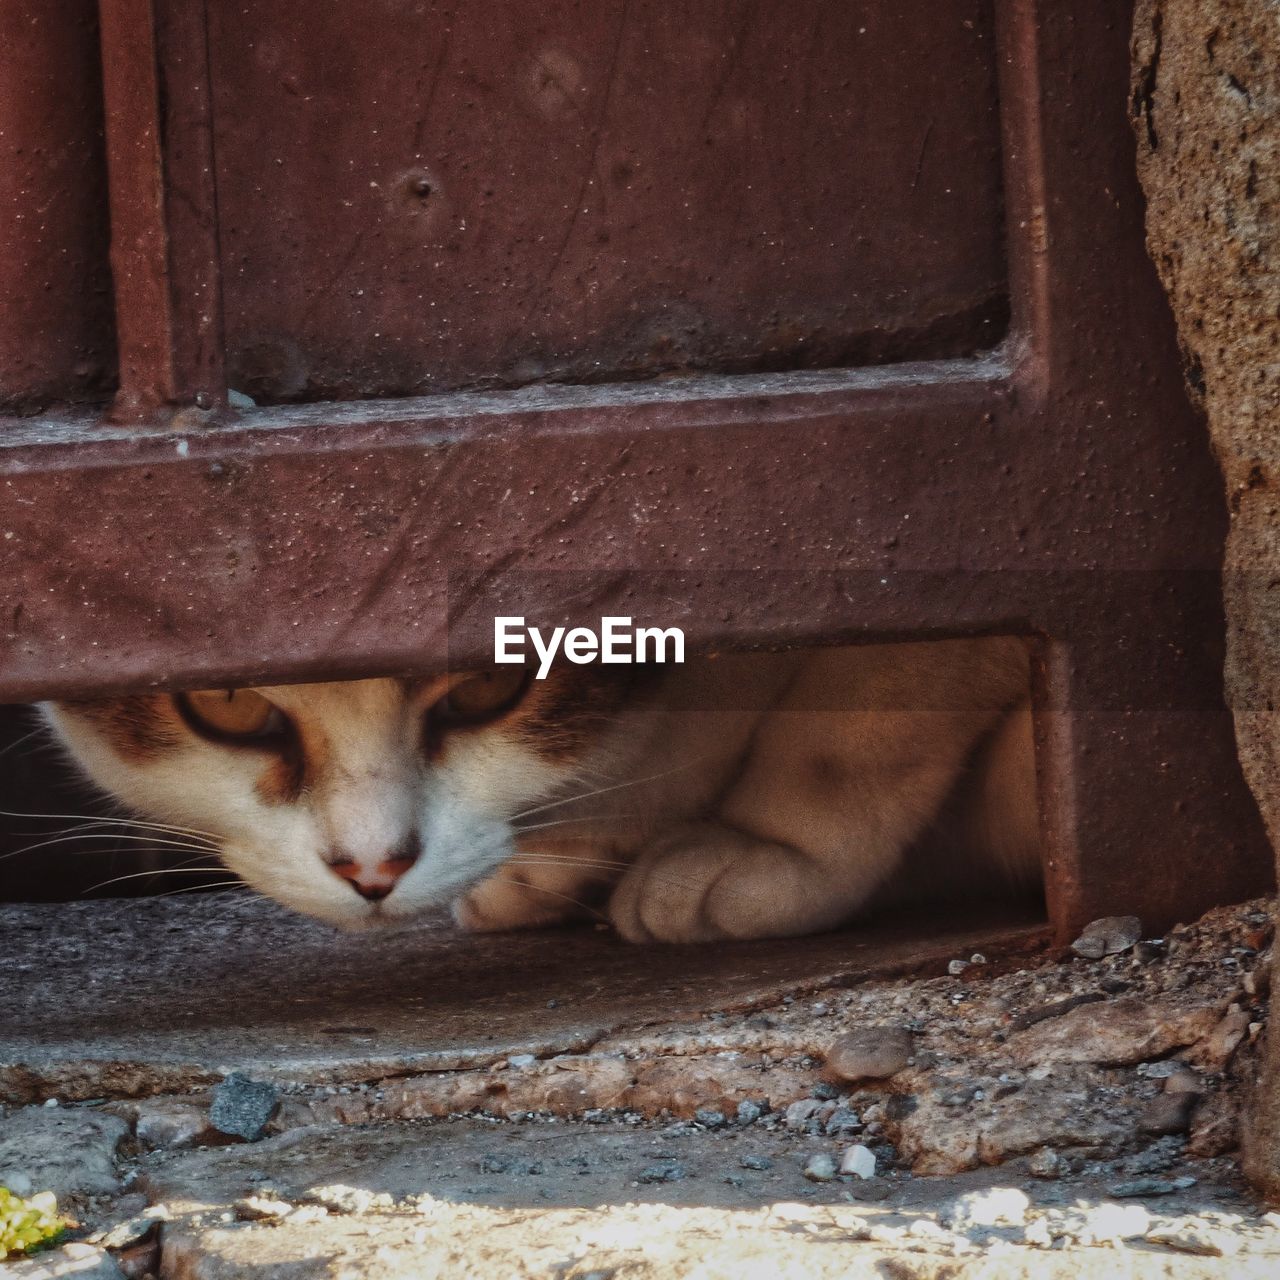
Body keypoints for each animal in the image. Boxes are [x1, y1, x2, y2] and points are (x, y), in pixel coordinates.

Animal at [40, 637, 1039, 947]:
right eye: (228, 703)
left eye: (490, 683)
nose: (374, 870)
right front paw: (560, 857)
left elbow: (868, 693)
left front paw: (777, 849)